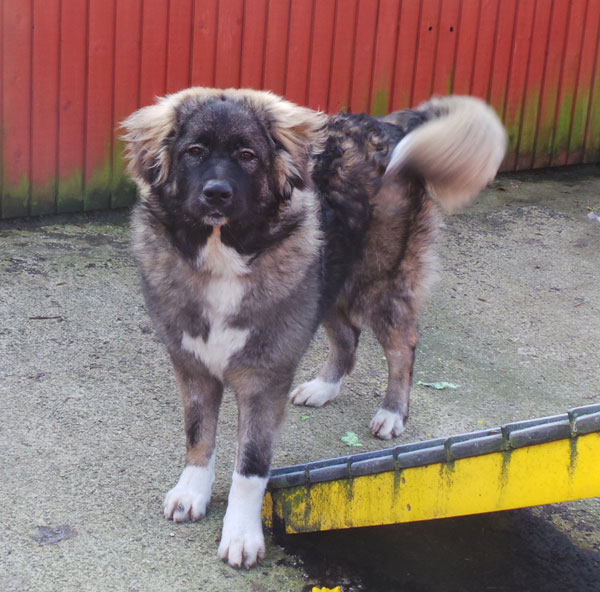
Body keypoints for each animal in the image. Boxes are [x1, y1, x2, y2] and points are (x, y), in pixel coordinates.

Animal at [122, 85, 506, 568]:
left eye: (248, 155)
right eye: (194, 152)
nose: (216, 194)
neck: (224, 253)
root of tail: (386, 125)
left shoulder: (263, 378)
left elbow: (251, 465)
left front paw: (241, 533)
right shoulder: (192, 365)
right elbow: (198, 436)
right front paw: (193, 491)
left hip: (379, 284)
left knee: (402, 348)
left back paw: (392, 412)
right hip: (326, 283)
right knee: (348, 338)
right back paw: (324, 388)